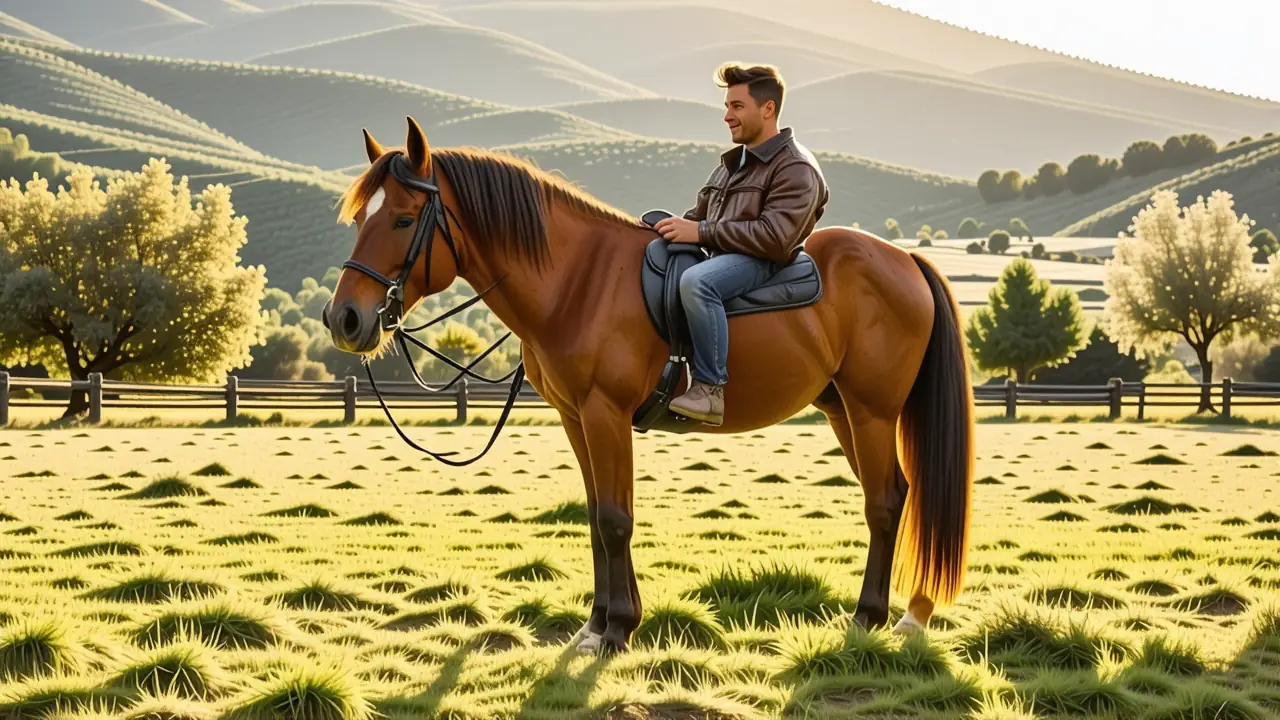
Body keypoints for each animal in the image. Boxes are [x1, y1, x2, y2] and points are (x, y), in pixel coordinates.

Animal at [324, 117, 974, 656]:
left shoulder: (606, 413)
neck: (578, 280)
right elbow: (595, 517)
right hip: (844, 410)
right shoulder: (576, 417)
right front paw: (598, 624)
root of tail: (905, 260)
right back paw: (911, 613)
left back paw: (870, 616)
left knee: (885, 501)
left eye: (404, 219)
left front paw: (616, 631)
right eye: (359, 219)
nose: (345, 319)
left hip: (872, 412)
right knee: (900, 494)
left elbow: (616, 519)